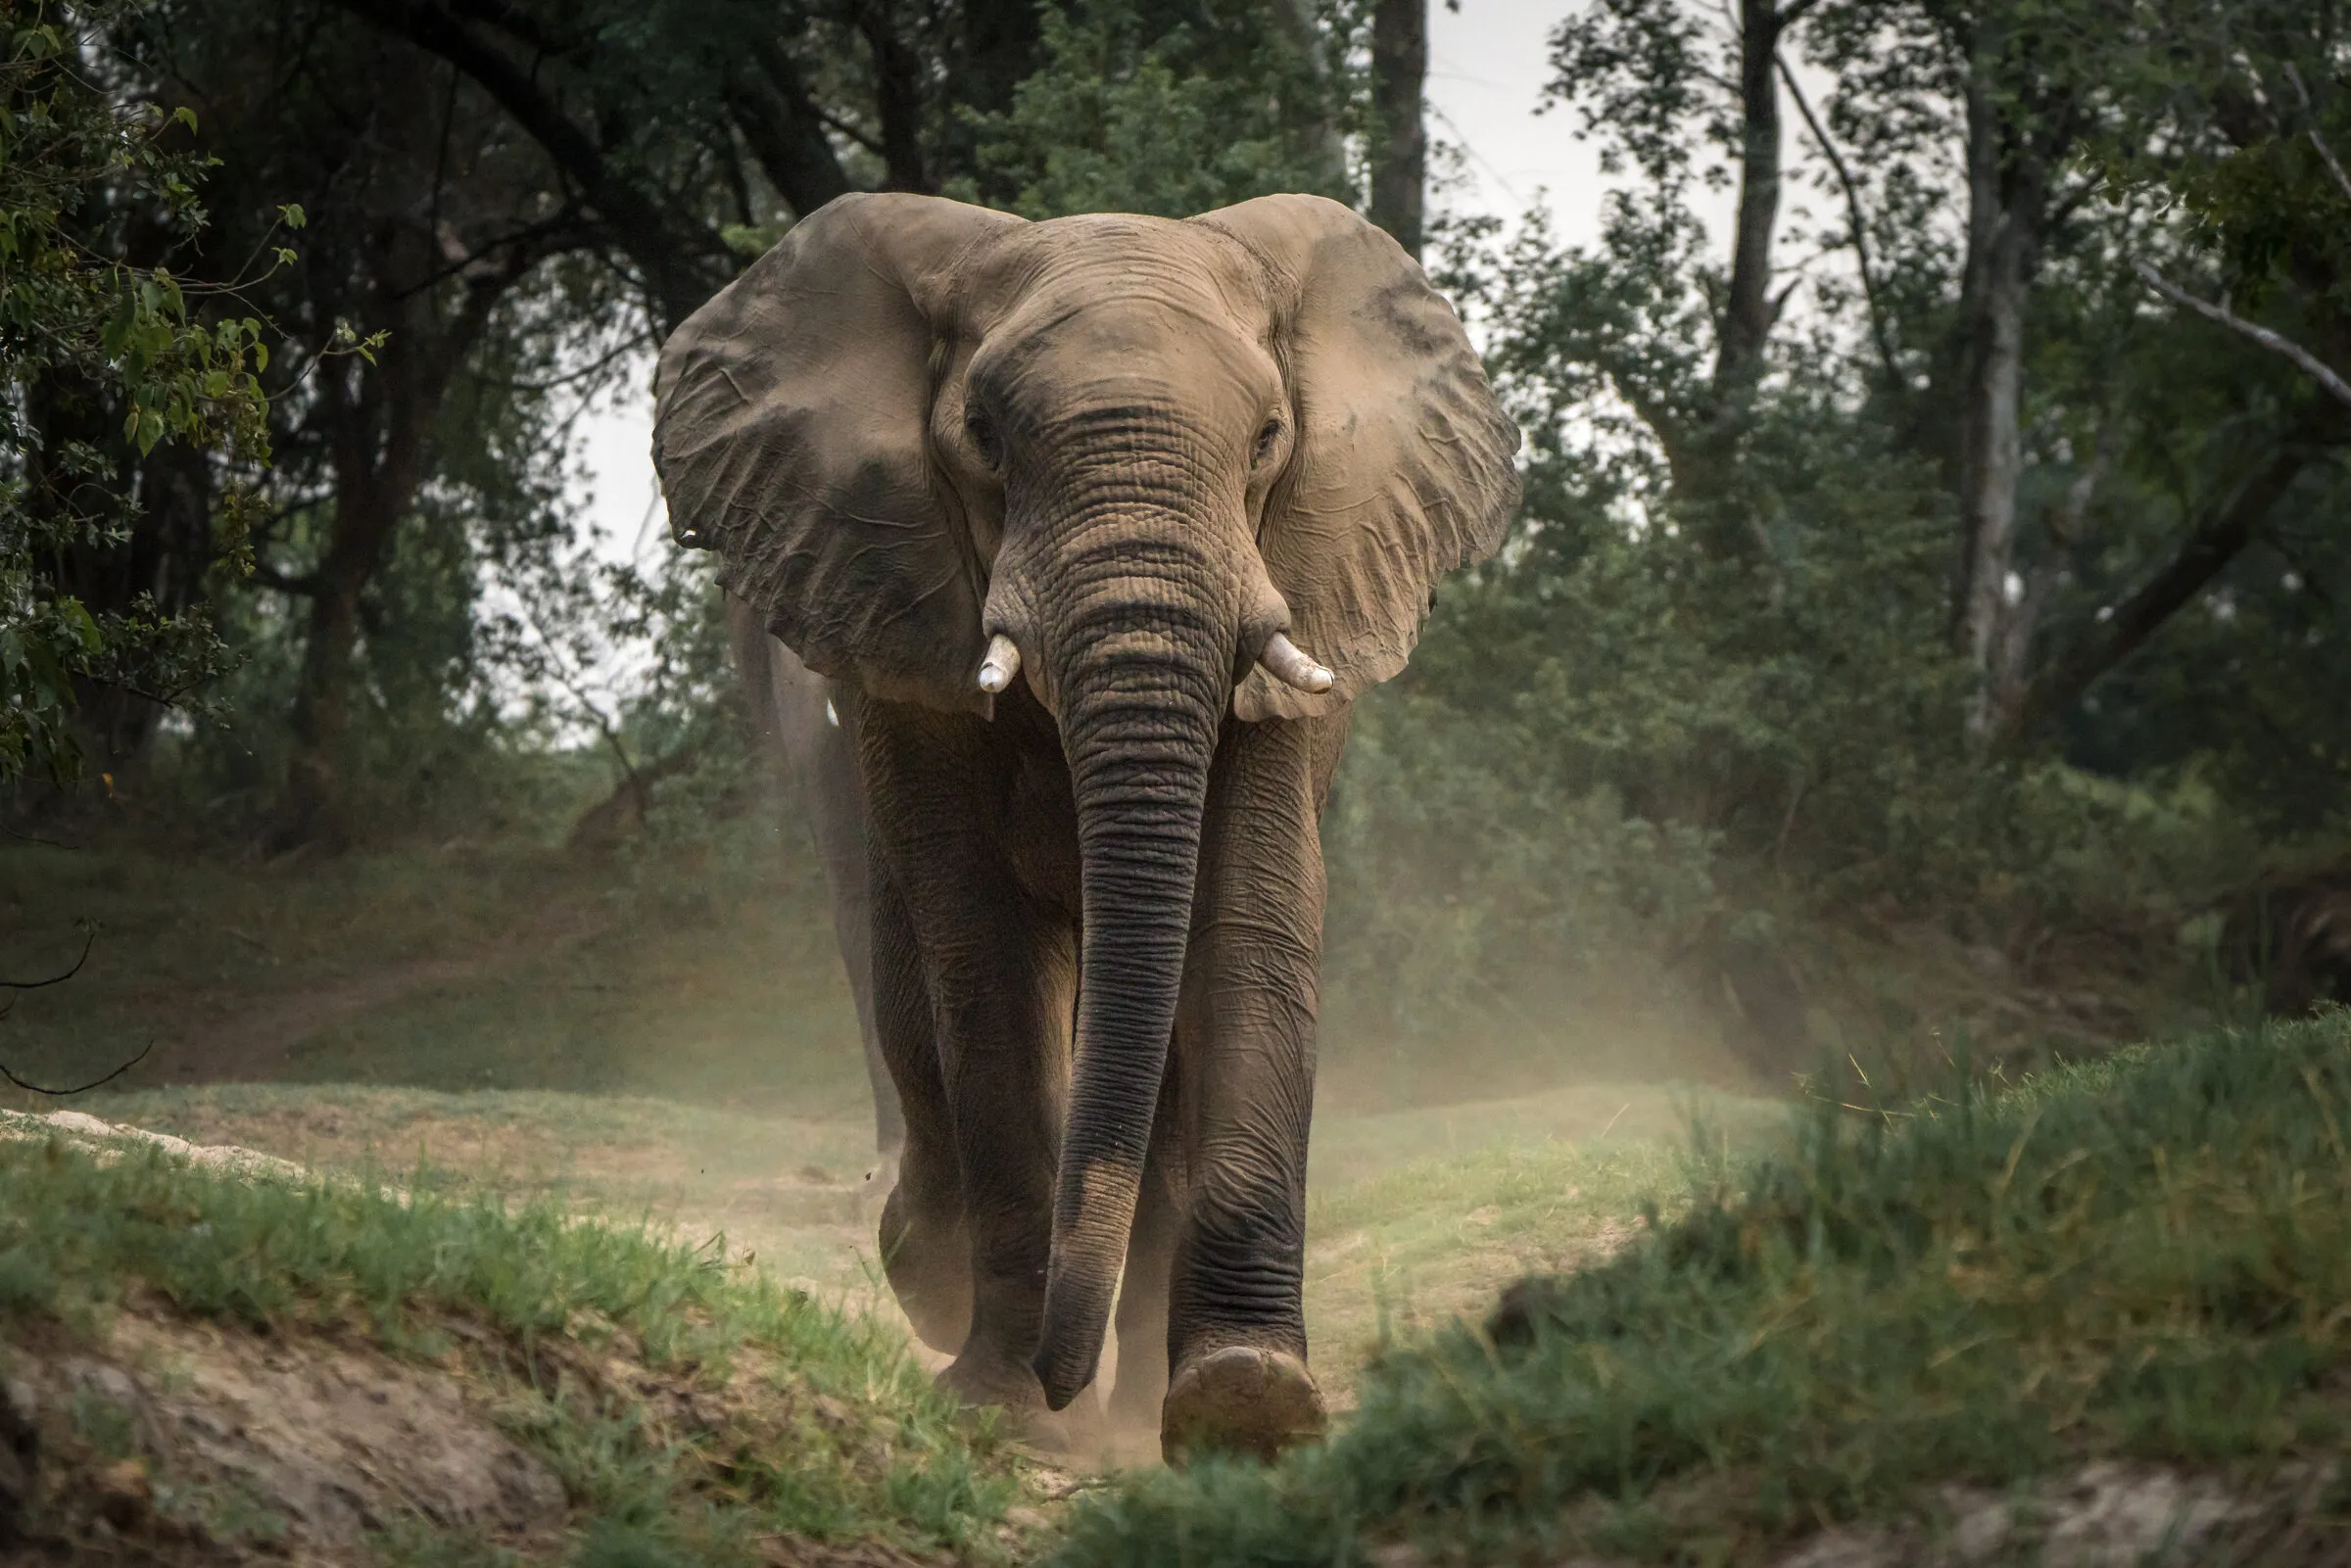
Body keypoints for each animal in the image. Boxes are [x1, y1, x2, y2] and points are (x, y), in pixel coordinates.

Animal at [653, 190, 1519, 1464]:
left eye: (1270, 436)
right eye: (983, 436)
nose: (1061, 1378)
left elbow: (1250, 915)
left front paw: (1247, 1403)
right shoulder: (906, 613)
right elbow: (989, 956)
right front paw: (1006, 1407)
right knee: (914, 990)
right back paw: (940, 1287)